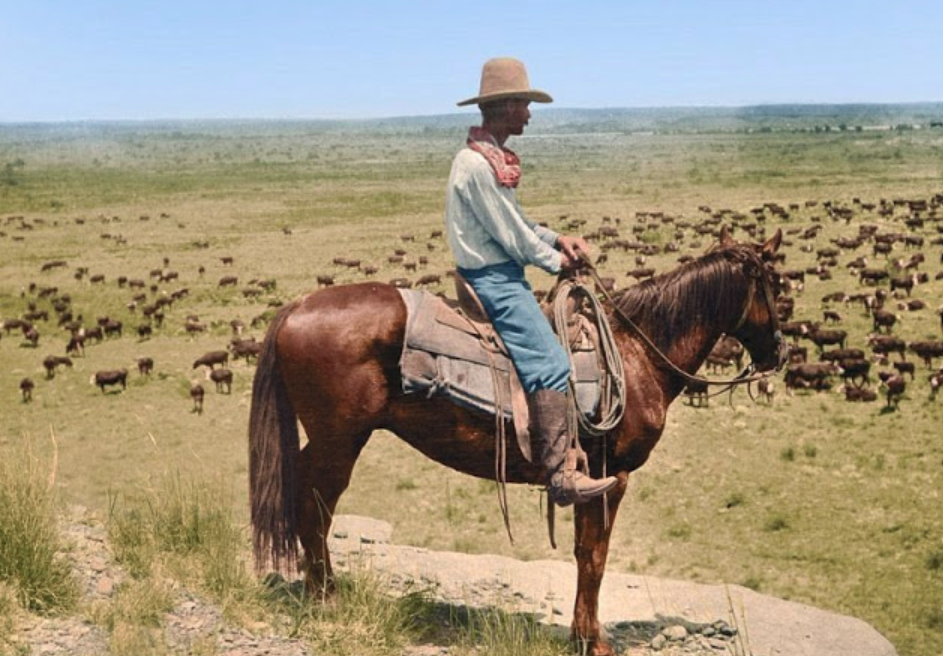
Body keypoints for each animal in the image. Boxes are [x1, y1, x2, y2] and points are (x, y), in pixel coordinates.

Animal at [247, 227, 784, 656]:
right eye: (775, 285)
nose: (778, 352)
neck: (637, 354)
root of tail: (298, 306)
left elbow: (584, 554)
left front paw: (582, 635)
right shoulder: (611, 476)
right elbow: (595, 558)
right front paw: (593, 641)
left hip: (328, 440)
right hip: (339, 441)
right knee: (315, 507)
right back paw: (327, 597)